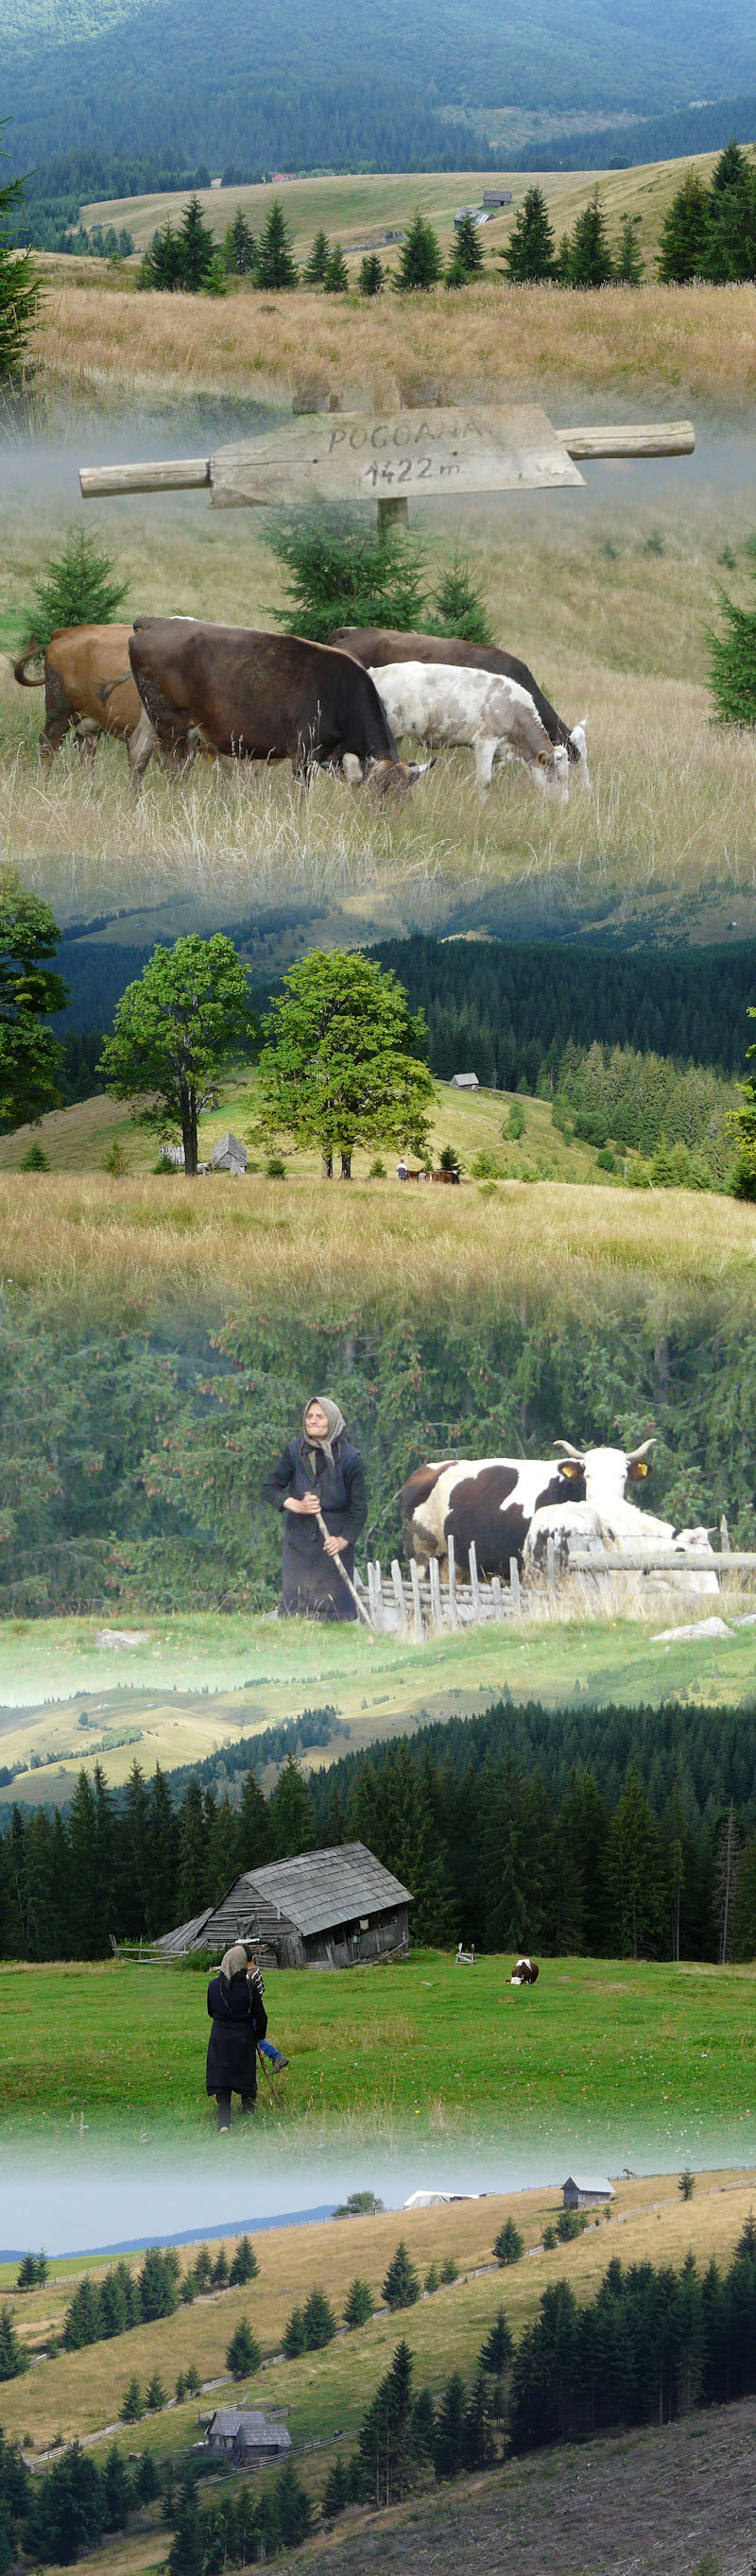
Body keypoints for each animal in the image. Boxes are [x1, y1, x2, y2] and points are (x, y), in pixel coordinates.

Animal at [126, 618, 425, 788]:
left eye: (404, 797)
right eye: (379, 791)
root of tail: (155, 623)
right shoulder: (303, 752)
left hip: (154, 720)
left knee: (139, 755)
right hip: (171, 725)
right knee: (173, 768)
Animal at [369, 654, 567, 793]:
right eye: (557, 777)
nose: (562, 806)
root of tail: (375, 671)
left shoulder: (498, 753)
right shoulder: (485, 743)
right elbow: (484, 781)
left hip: (397, 735)